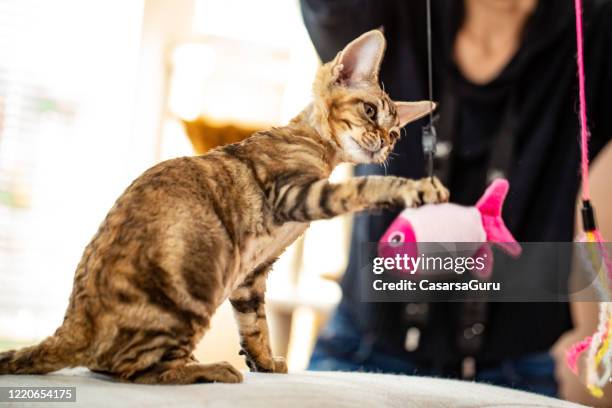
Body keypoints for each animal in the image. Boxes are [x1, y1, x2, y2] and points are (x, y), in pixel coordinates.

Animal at [0, 30, 450, 384]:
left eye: (395, 133)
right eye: (369, 111)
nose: (383, 145)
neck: (316, 147)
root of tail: (73, 327)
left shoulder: (251, 274)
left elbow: (256, 325)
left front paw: (265, 361)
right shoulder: (293, 193)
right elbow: (365, 185)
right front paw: (416, 189)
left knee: (114, 365)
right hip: (197, 280)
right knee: (130, 369)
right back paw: (204, 369)